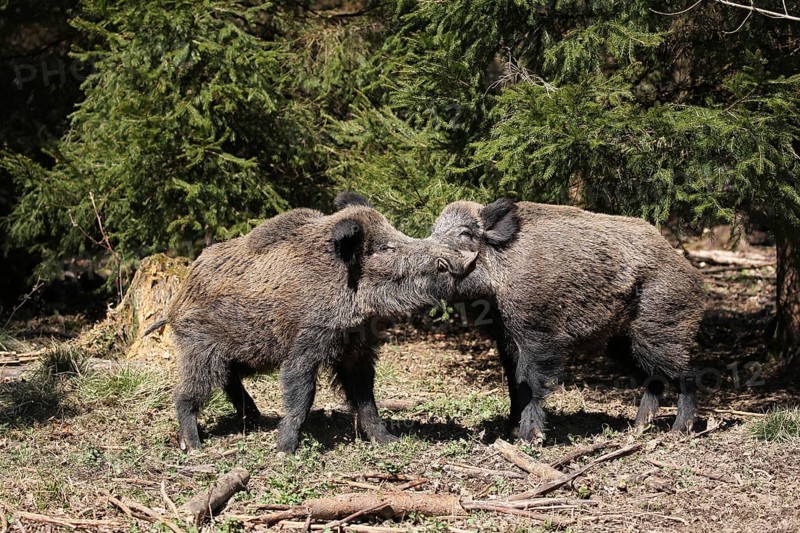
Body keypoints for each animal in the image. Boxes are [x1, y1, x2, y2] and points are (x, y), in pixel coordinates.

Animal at [145, 194, 477, 453]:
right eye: (385, 248)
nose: (467, 259)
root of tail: (177, 301)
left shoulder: (357, 351)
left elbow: (366, 398)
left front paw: (388, 441)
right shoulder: (306, 344)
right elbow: (301, 393)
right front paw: (284, 451)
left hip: (239, 354)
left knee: (230, 381)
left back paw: (255, 419)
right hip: (200, 348)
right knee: (186, 392)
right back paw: (194, 446)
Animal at [426, 198, 706, 443]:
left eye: (465, 233)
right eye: (434, 230)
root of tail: (695, 276)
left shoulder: (538, 333)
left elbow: (530, 382)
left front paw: (527, 440)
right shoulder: (504, 339)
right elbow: (513, 384)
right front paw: (510, 433)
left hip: (661, 327)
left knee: (688, 373)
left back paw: (678, 431)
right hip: (623, 343)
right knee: (654, 378)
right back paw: (636, 429)